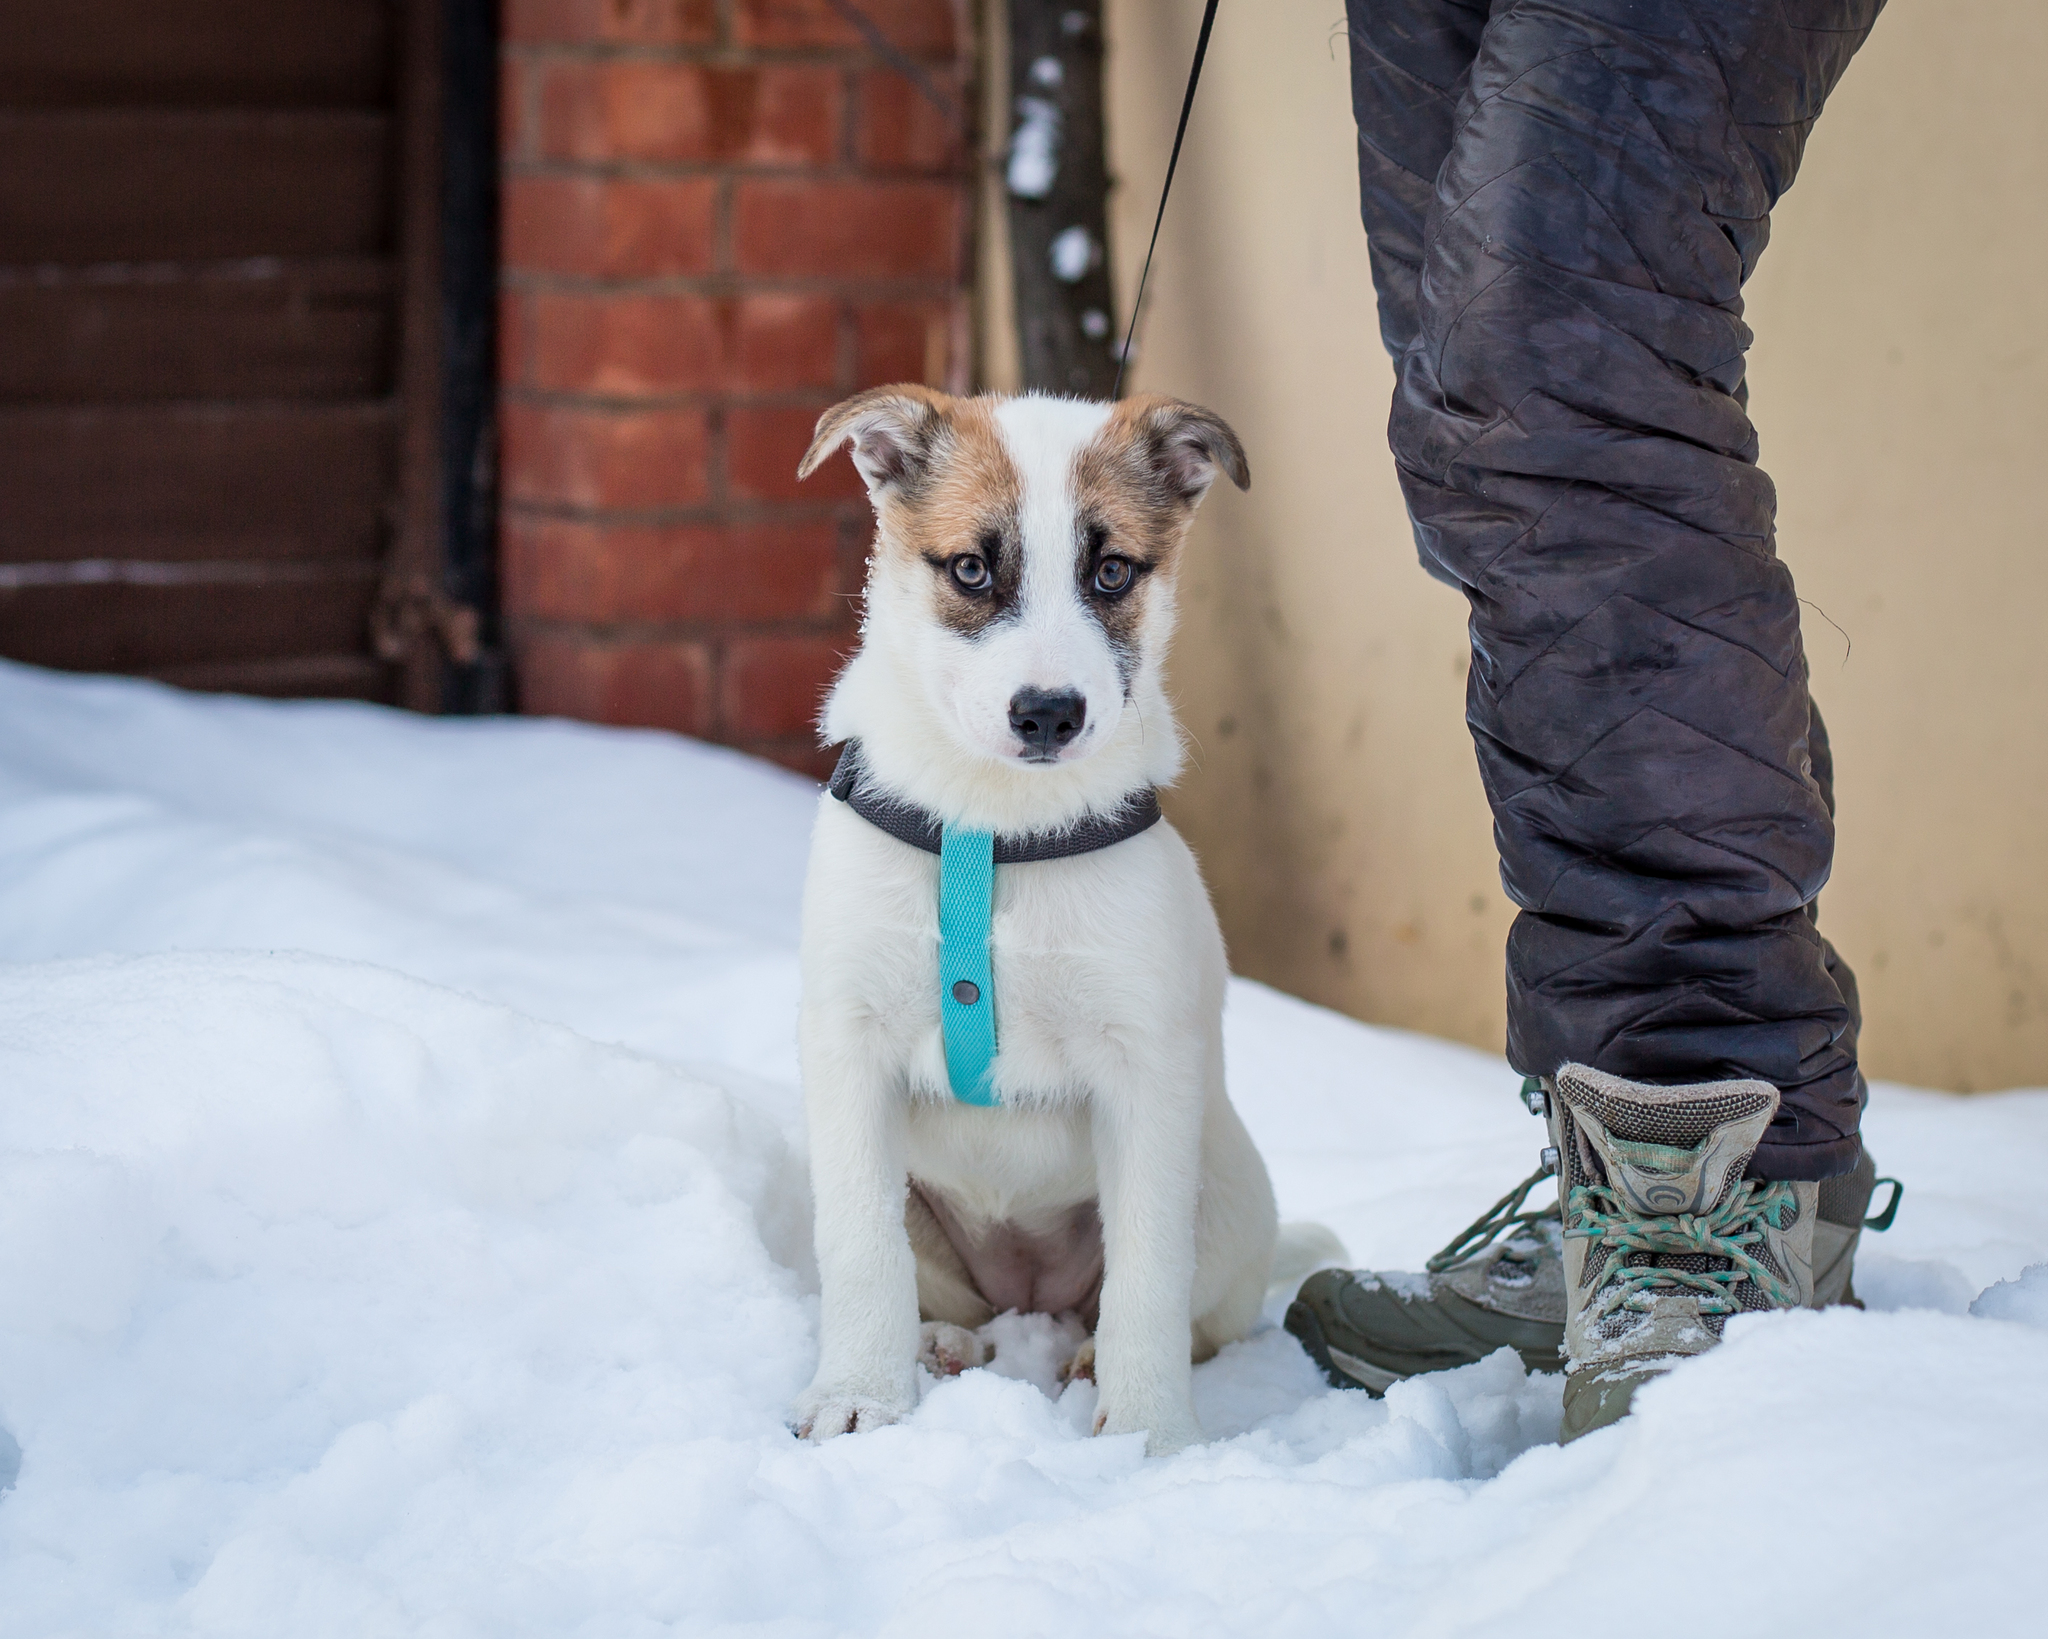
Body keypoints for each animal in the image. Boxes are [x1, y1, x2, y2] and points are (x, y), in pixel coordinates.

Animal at [790, 391, 1269, 1450]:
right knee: (955, 1299)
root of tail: (1030, 1289)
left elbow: (1147, 1278)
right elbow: (859, 1245)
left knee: (1168, 1307)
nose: (1049, 713)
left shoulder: (1144, 1068)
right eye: (972, 568)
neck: (995, 830)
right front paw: (859, 1398)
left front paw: (1151, 1436)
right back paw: (942, 1346)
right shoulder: (848, 1046)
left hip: (1227, 1185)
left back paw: (1087, 1360)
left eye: (1112, 571)